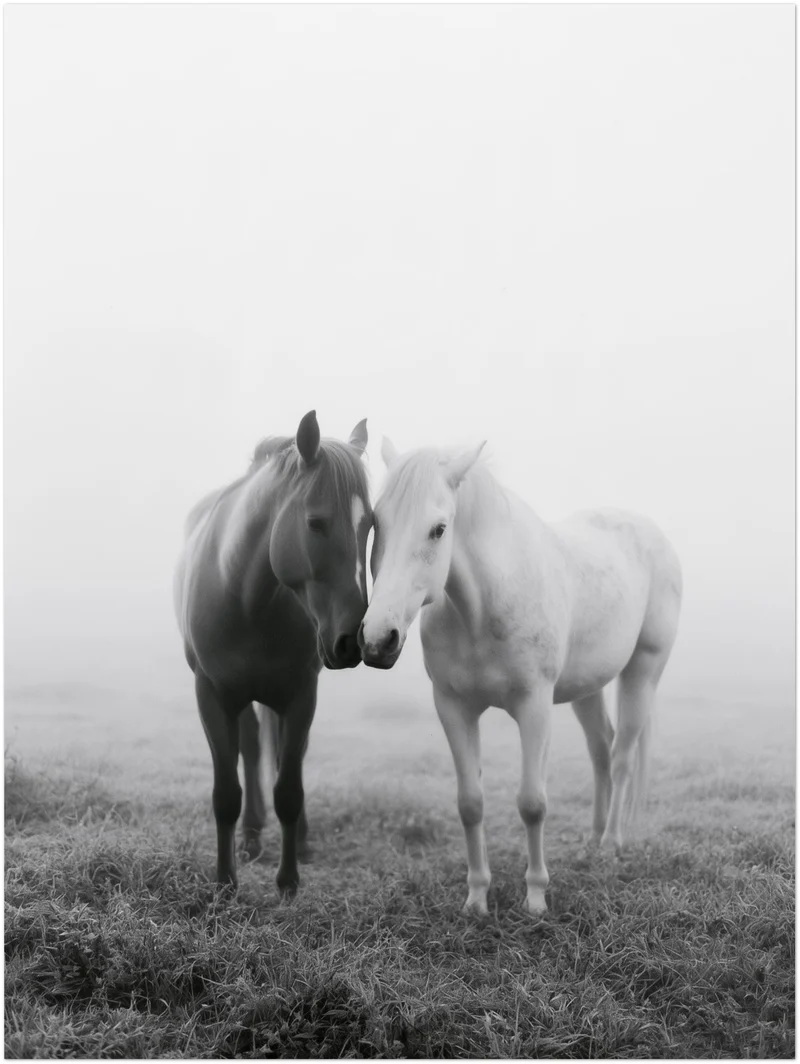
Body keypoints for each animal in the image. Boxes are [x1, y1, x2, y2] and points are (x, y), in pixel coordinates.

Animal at [174, 410, 372, 895]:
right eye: (316, 523)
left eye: (371, 525)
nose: (352, 641)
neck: (245, 594)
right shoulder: (211, 697)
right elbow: (226, 792)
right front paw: (225, 880)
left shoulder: (300, 696)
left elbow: (289, 788)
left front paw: (288, 881)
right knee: (250, 749)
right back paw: (250, 834)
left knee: (281, 755)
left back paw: (297, 840)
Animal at [359, 439, 682, 915]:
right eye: (376, 522)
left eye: (438, 529)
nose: (378, 640)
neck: (481, 611)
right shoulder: (453, 708)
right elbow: (470, 804)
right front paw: (477, 897)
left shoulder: (534, 706)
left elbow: (532, 803)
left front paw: (535, 898)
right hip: (588, 688)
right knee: (601, 752)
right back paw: (592, 839)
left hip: (642, 672)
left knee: (622, 755)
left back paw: (611, 843)